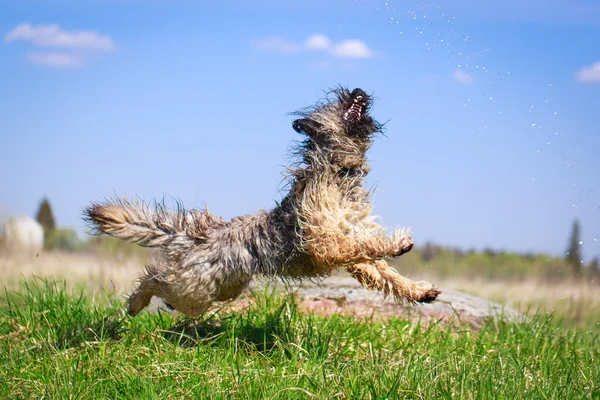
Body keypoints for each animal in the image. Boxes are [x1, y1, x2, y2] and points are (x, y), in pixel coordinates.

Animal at [84, 87, 440, 316]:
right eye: (339, 100)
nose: (358, 88)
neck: (338, 172)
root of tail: (200, 235)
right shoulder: (325, 243)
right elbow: (364, 245)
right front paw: (397, 242)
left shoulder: (353, 252)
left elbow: (383, 272)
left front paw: (419, 290)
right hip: (196, 290)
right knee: (155, 277)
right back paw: (135, 303)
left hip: (222, 288)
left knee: (167, 285)